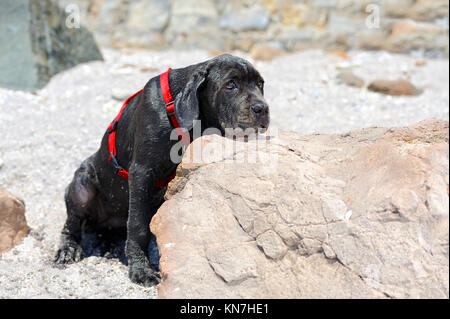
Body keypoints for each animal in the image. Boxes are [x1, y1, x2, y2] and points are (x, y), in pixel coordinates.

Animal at [54, 53, 268, 286]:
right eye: (231, 84)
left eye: (260, 84)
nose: (262, 109)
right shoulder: (141, 172)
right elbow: (138, 225)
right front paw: (141, 270)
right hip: (82, 186)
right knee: (72, 223)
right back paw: (68, 249)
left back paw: (109, 246)